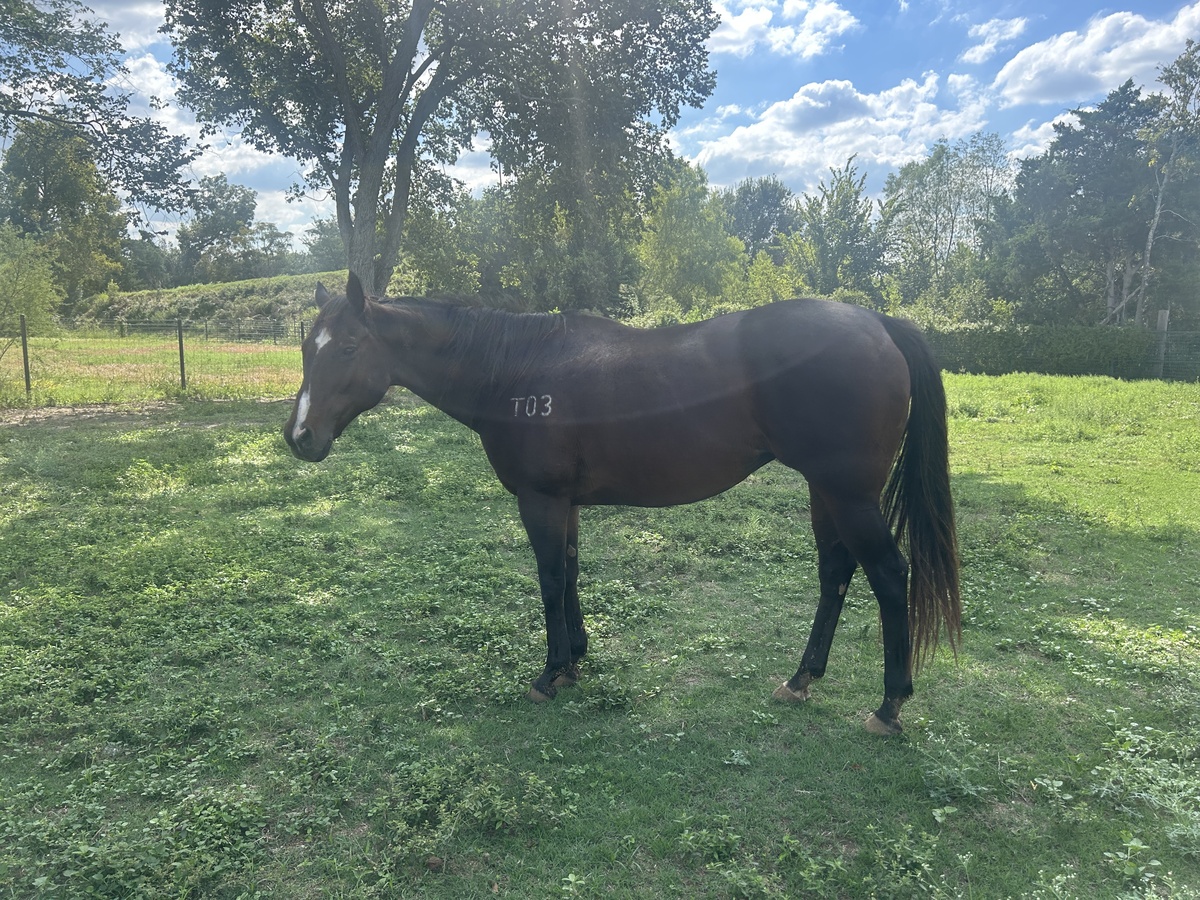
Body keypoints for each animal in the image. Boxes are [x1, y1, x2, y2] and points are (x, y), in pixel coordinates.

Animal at [284, 273, 960, 735]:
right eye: (307, 348)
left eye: (347, 348)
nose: (300, 437)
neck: (515, 369)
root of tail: (877, 324)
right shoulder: (566, 503)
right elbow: (571, 572)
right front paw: (576, 658)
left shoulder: (541, 500)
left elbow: (550, 579)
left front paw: (550, 674)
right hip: (828, 494)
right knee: (836, 573)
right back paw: (801, 680)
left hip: (849, 495)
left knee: (889, 576)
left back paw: (889, 705)